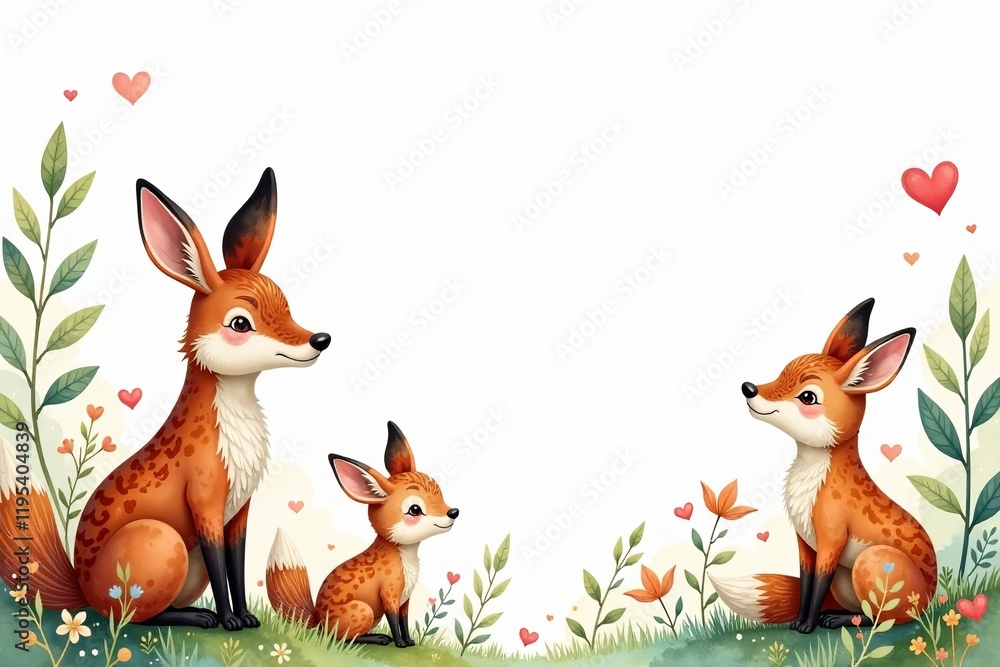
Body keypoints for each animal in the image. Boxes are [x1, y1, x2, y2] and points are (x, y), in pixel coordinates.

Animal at [0, 168, 330, 630]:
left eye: (287, 307)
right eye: (241, 323)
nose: (320, 340)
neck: (233, 431)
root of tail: (81, 591)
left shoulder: (240, 511)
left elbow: (236, 567)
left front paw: (246, 617)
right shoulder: (205, 504)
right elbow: (220, 569)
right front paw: (228, 620)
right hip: (169, 542)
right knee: (131, 616)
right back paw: (198, 618)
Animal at [266, 422, 458, 647]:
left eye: (439, 493)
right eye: (415, 510)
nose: (454, 512)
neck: (405, 559)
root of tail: (319, 621)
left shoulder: (405, 599)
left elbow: (404, 621)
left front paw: (409, 641)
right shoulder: (389, 595)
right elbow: (394, 622)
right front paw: (399, 643)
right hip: (365, 611)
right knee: (341, 639)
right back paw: (377, 638)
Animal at [710, 298, 936, 633]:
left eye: (807, 397)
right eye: (781, 373)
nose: (748, 388)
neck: (810, 482)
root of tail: (932, 597)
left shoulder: (832, 540)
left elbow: (817, 586)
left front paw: (807, 626)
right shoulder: (805, 542)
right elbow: (806, 585)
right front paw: (798, 621)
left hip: (868, 562)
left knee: (884, 618)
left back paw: (839, 620)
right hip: (846, 581)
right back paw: (838, 615)